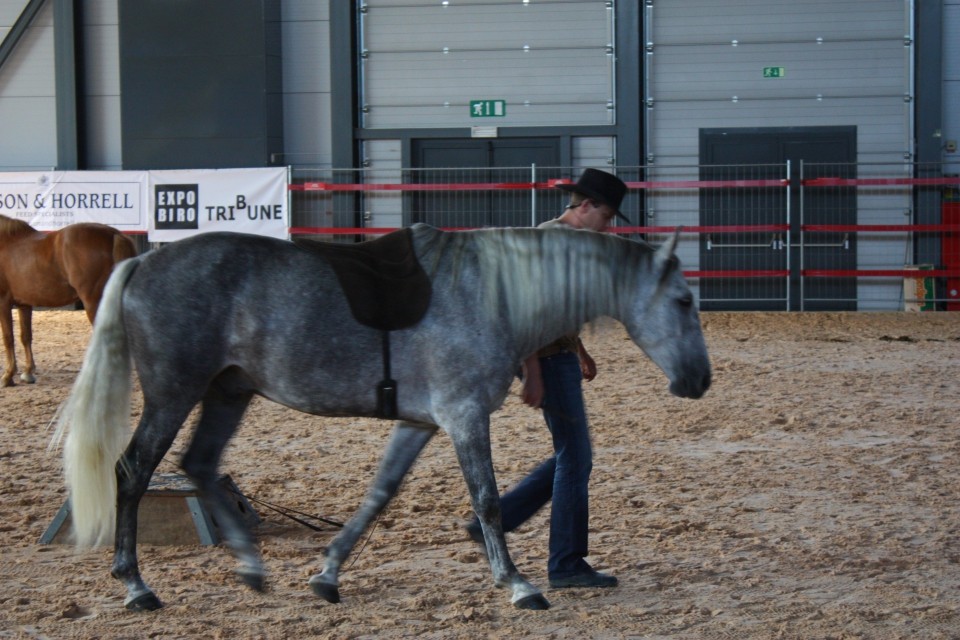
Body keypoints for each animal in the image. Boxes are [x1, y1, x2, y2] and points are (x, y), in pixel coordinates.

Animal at [0, 215, 137, 384]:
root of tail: (114, 234)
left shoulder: (3, 303)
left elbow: (8, 338)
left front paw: (8, 375)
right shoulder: (24, 304)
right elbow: (26, 336)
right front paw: (28, 372)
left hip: (94, 303)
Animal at [54, 222, 712, 612]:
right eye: (684, 301)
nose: (700, 380)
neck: (493, 290)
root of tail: (144, 263)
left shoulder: (421, 423)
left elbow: (378, 494)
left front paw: (327, 574)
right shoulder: (464, 416)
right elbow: (488, 501)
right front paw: (519, 583)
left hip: (226, 393)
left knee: (199, 465)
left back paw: (251, 568)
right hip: (174, 393)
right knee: (134, 473)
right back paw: (136, 585)